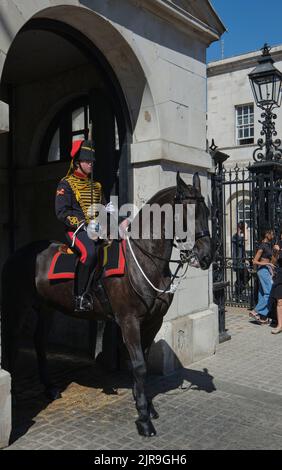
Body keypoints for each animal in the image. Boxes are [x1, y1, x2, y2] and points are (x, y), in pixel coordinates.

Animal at [0, 173, 212, 436]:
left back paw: (49, 387)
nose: (207, 256)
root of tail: (17, 253)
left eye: (207, 211)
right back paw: (13, 392)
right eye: (188, 213)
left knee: (39, 343)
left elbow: (142, 361)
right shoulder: (128, 321)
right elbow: (139, 366)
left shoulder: (153, 321)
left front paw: (146, 405)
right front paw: (143, 417)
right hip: (17, 308)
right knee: (12, 343)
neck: (143, 260)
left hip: (47, 308)